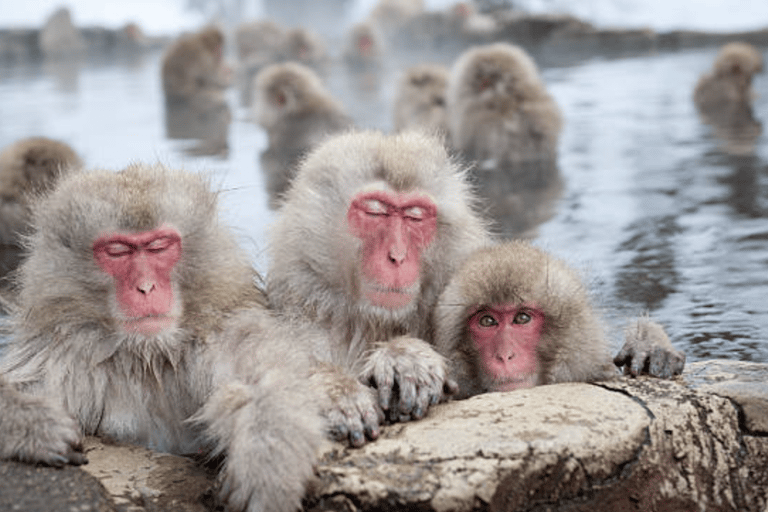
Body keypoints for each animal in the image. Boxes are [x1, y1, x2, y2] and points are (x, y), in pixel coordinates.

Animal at [0, 163, 326, 512]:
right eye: (117, 251)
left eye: (159, 246)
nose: (146, 287)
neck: (148, 355)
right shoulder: (62, 354)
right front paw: (33, 425)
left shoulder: (222, 335)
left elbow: (263, 381)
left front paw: (265, 463)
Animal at [268, 130, 488, 446]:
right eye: (375, 212)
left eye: (415, 216)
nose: (397, 256)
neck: (372, 322)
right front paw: (336, 392)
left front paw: (406, 357)